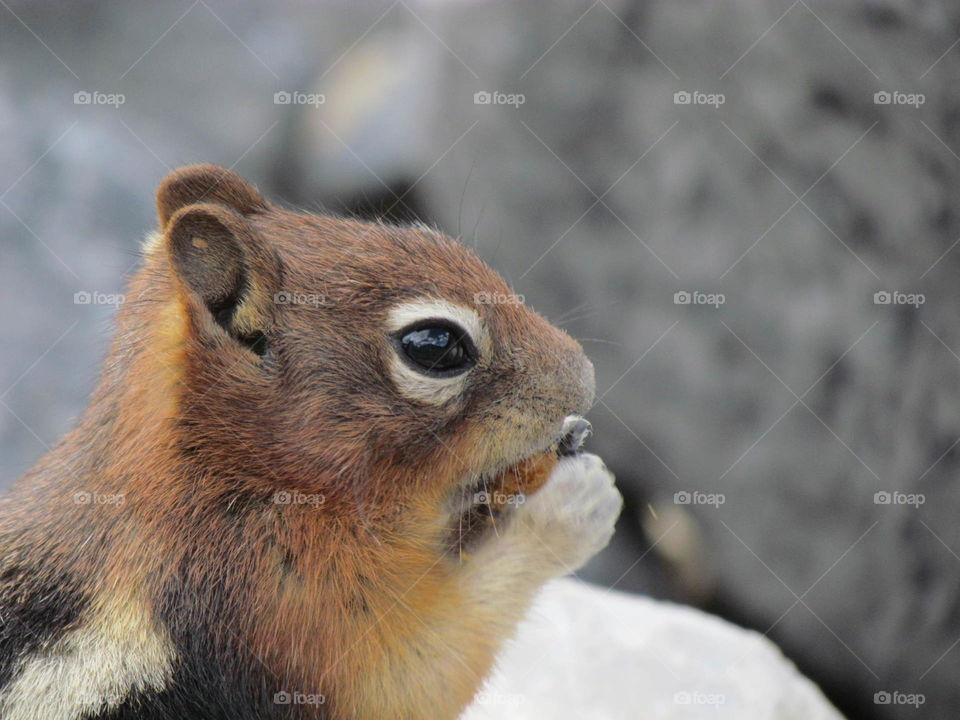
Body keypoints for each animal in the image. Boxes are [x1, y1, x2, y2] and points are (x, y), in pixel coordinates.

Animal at [0, 165, 622, 720]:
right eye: (434, 345)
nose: (585, 374)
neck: (233, 470)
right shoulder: (278, 600)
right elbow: (422, 664)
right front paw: (569, 503)